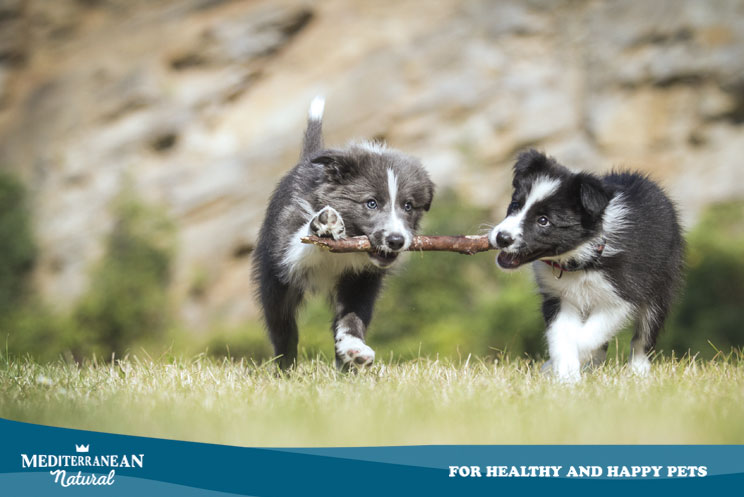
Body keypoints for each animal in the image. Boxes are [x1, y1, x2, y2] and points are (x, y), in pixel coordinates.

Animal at [253, 97, 434, 368]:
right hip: (275, 286)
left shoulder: (362, 280)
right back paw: (285, 368)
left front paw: (354, 348)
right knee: (283, 328)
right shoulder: (287, 244)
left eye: (408, 206)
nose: (396, 240)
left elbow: (352, 317)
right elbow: (300, 243)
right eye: (371, 203)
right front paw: (324, 223)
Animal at [488, 149, 684, 382]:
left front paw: (554, 368)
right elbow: (562, 335)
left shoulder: (620, 297)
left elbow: (586, 337)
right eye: (516, 205)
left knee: (643, 336)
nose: (501, 238)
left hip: (660, 286)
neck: (581, 261)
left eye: (543, 220)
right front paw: (566, 376)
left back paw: (638, 370)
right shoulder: (559, 296)